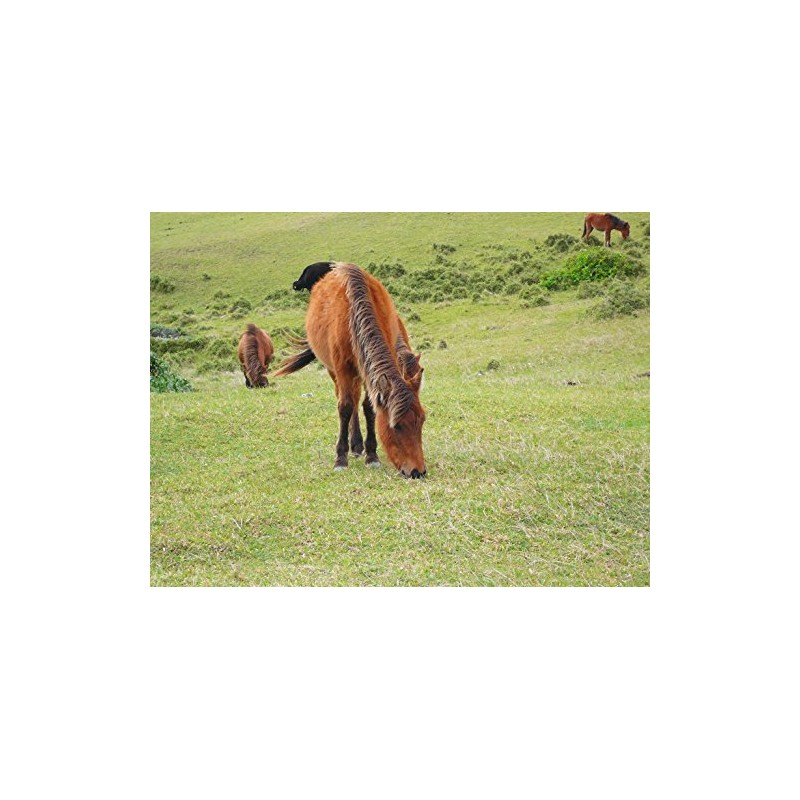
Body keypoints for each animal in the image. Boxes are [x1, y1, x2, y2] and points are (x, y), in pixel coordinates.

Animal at [274, 262, 427, 478]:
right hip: (335, 371)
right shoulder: (343, 369)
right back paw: (354, 445)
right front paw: (341, 458)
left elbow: (369, 407)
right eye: (397, 426)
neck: (353, 314)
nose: (417, 471)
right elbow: (345, 407)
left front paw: (372, 455)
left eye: (421, 421)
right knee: (347, 399)